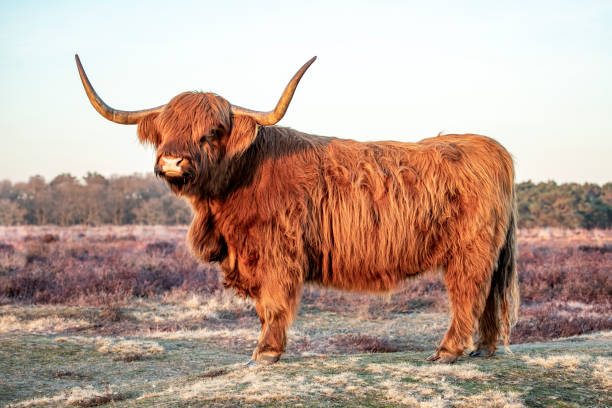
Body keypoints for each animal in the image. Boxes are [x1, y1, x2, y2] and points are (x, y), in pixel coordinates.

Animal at [75, 54, 516, 364]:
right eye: (165, 130)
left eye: (212, 132)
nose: (172, 162)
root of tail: (489, 147)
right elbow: (260, 305)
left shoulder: (276, 251)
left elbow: (273, 301)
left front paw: (266, 352)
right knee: (489, 297)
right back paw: (485, 349)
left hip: (469, 252)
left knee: (468, 294)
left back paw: (449, 351)